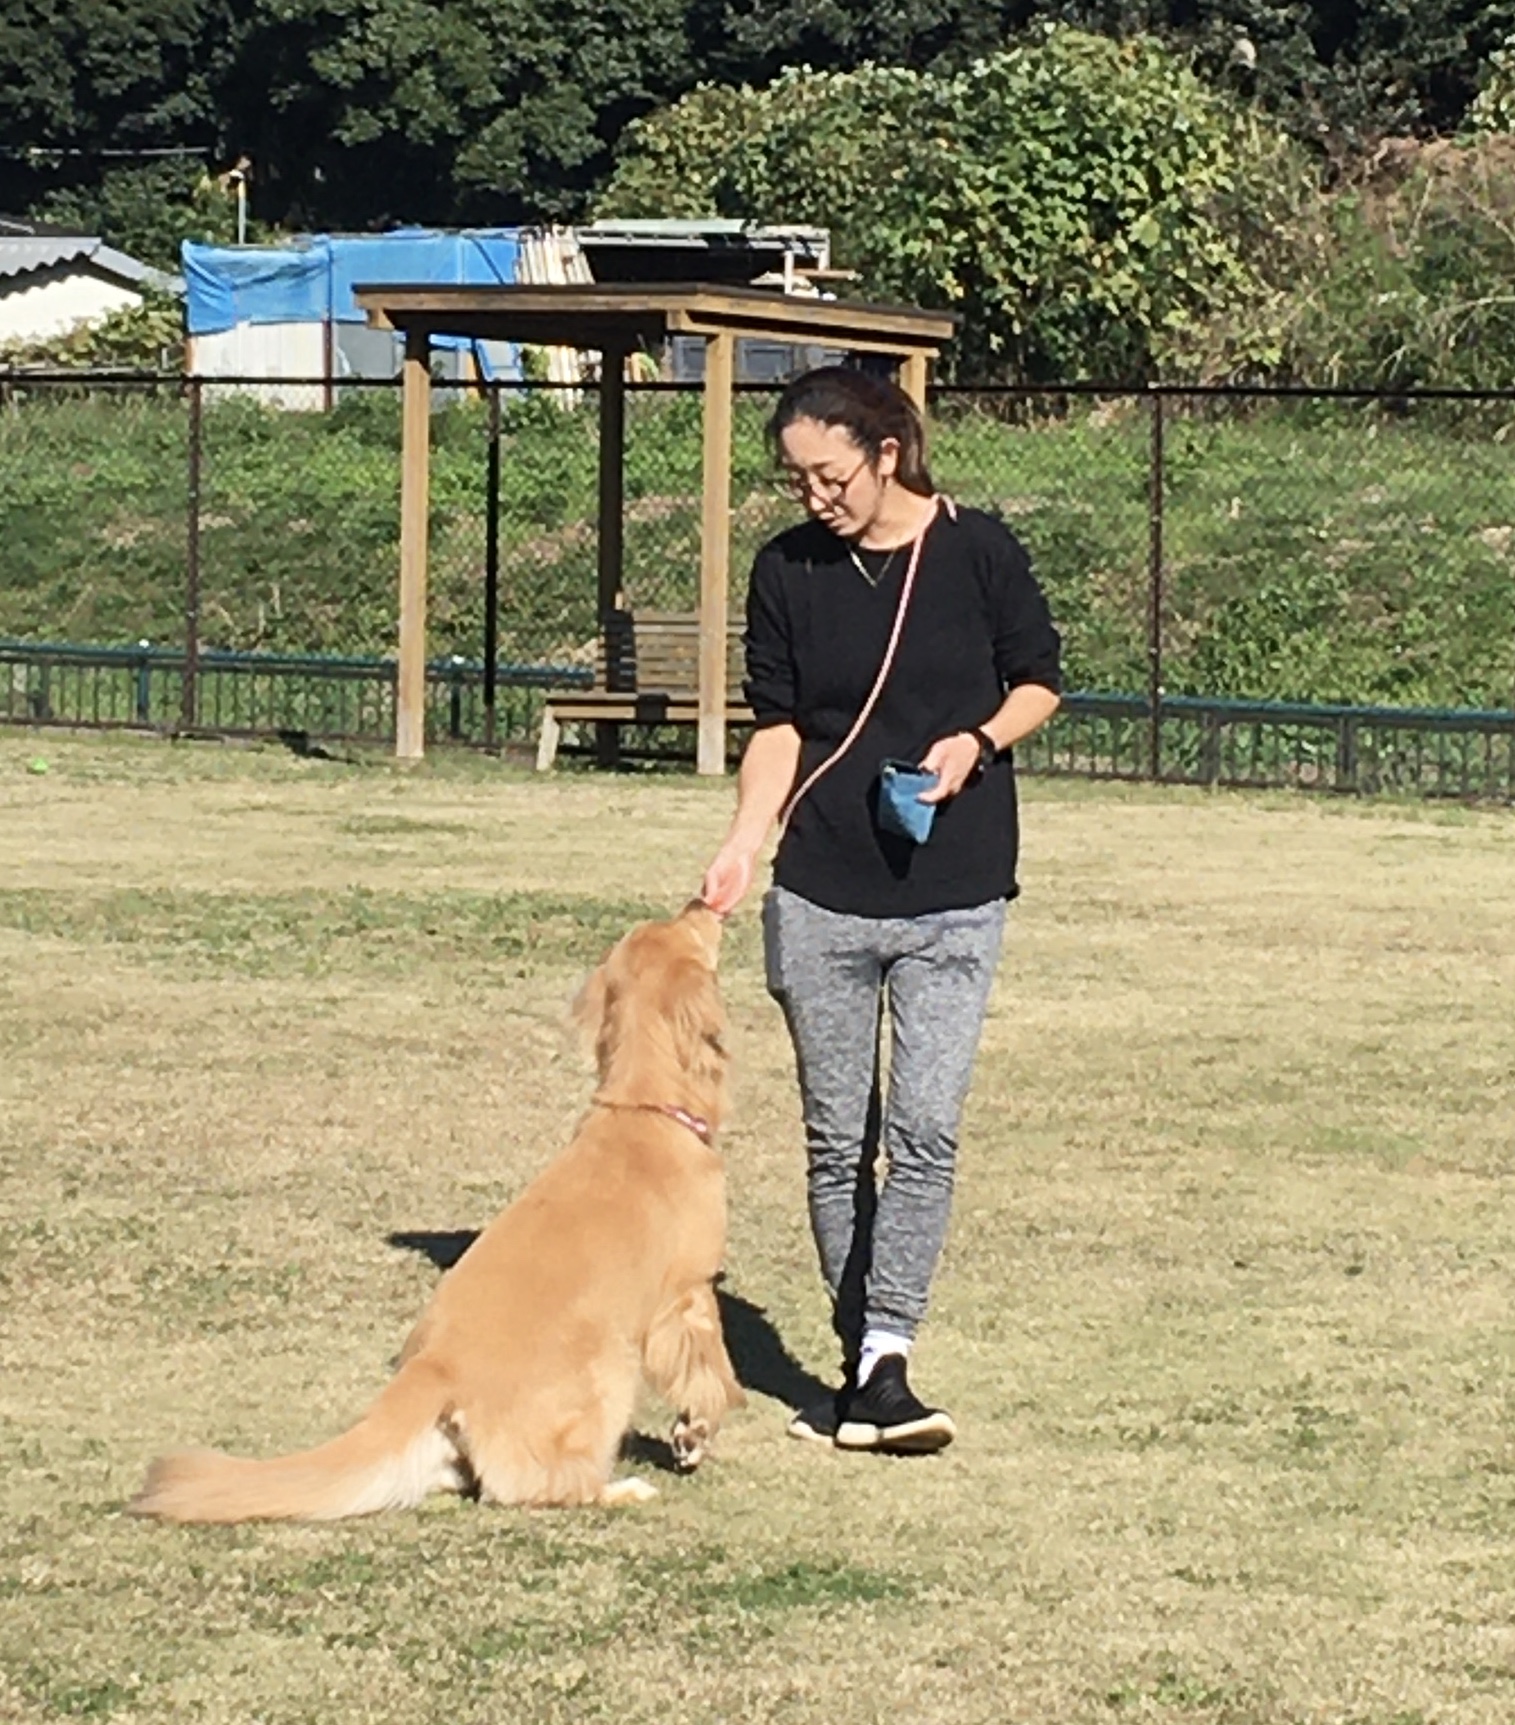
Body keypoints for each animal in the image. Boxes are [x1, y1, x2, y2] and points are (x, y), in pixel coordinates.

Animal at [130, 900, 744, 1521]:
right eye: (686, 929)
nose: (701, 902)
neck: (645, 1110)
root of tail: (436, 1367)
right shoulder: (687, 1294)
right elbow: (708, 1370)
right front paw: (696, 1431)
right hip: (609, 1367)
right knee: (539, 1483)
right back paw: (622, 1488)